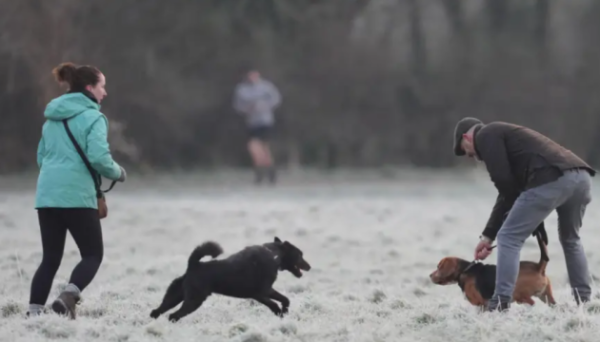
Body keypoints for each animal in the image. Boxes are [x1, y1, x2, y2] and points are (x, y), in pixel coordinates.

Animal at [150, 236, 312, 322]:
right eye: (300, 255)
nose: (310, 267)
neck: (274, 255)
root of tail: (193, 265)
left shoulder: (259, 294)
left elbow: (281, 301)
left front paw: (282, 312)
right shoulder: (263, 292)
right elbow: (281, 300)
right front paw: (281, 312)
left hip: (174, 296)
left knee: (157, 311)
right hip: (194, 300)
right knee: (173, 315)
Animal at [428, 228, 556, 308]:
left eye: (439, 267)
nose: (430, 275)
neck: (465, 270)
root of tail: (538, 267)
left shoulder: (480, 304)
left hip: (520, 295)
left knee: (532, 303)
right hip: (547, 297)